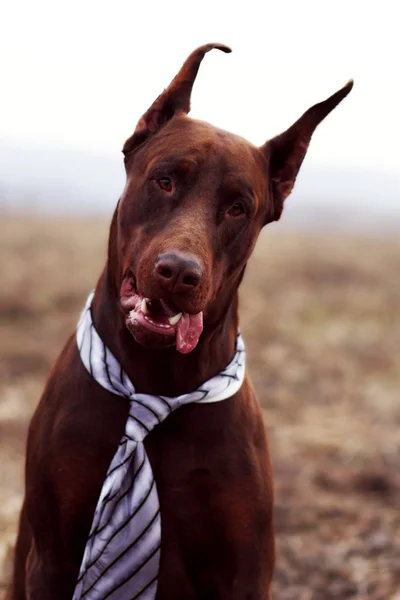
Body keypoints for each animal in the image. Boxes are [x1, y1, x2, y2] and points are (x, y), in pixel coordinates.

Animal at [7, 44, 352, 596]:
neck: (158, 379)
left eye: (238, 208)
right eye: (164, 180)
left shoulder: (245, 568)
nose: (178, 272)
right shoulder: (54, 557)